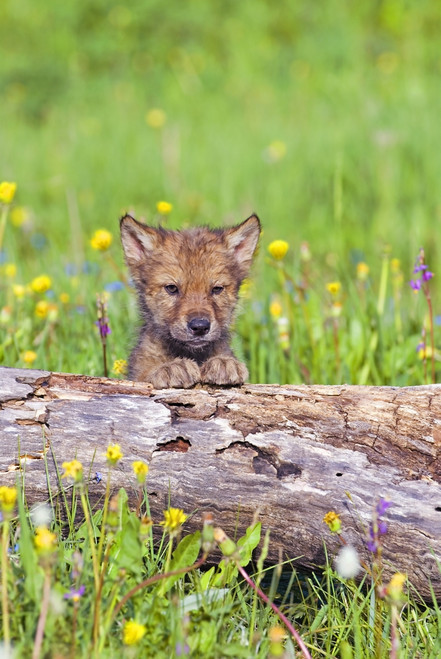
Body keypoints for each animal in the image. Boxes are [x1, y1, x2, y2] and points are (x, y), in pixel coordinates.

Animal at [120, 213, 261, 388]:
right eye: (172, 288)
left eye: (217, 289)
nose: (200, 327)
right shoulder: (137, 374)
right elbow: (146, 374)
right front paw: (171, 367)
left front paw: (224, 363)